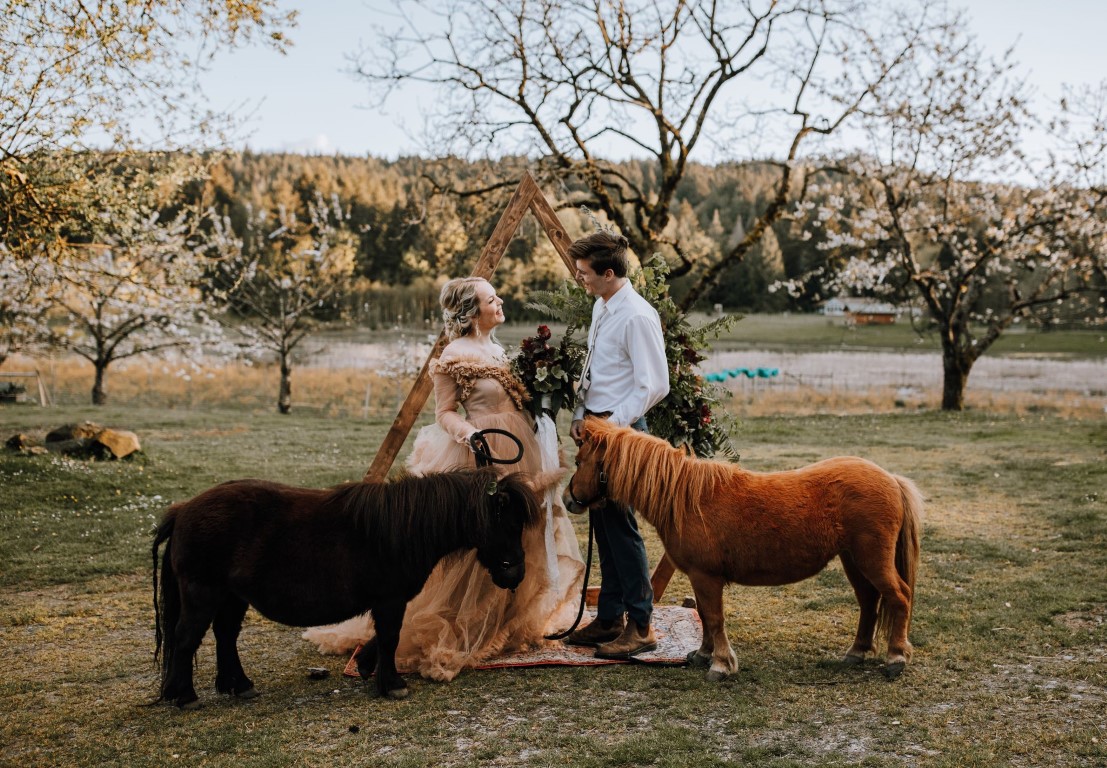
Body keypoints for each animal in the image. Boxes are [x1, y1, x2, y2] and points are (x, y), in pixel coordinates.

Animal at [151, 462, 540, 708]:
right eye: (507, 523)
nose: (515, 574)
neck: (402, 529)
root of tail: (183, 510)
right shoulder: (390, 600)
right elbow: (390, 637)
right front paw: (392, 684)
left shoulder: (388, 602)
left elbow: (382, 637)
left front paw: (368, 667)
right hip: (202, 595)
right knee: (186, 639)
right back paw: (185, 696)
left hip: (232, 598)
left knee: (225, 636)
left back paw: (240, 686)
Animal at [566, 420, 921, 681]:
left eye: (579, 461)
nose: (569, 499)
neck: (686, 498)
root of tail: (890, 478)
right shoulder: (699, 578)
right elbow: (705, 617)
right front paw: (703, 654)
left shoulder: (706, 577)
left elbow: (714, 617)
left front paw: (721, 665)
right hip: (853, 561)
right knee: (869, 602)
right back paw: (856, 652)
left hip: (872, 560)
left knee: (898, 597)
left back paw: (896, 657)